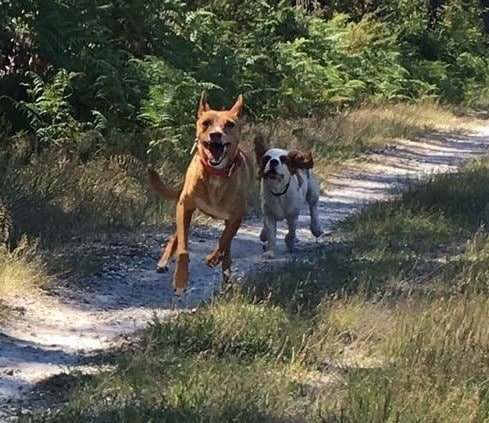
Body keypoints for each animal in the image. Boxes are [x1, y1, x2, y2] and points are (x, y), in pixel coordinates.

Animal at [146, 92, 252, 294]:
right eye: (206, 123)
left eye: (230, 124)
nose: (216, 134)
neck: (216, 174)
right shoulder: (184, 207)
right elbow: (183, 248)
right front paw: (180, 278)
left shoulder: (237, 216)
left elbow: (224, 240)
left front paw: (214, 258)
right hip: (184, 211)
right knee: (175, 237)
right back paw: (163, 262)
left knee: (227, 245)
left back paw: (225, 271)